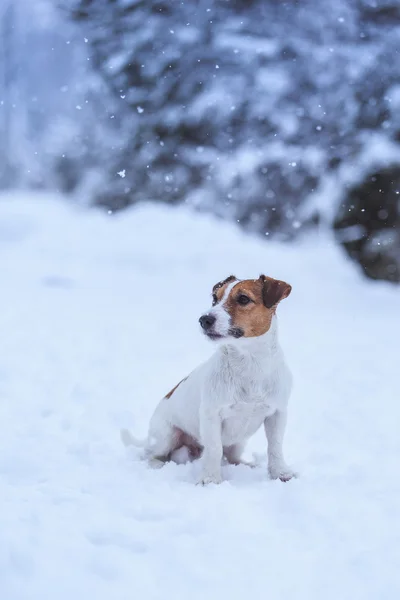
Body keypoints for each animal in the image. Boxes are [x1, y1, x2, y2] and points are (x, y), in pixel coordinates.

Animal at [122, 274, 296, 486]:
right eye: (215, 298)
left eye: (243, 299)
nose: (204, 319)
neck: (249, 363)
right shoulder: (211, 415)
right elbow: (214, 449)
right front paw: (211, 479)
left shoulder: (277, 414)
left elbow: (275, 447)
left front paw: (280, 473)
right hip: (167, 435)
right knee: (151, 455)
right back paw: (158, 465)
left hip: (238, 442)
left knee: (232, 457)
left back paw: (246, 465)